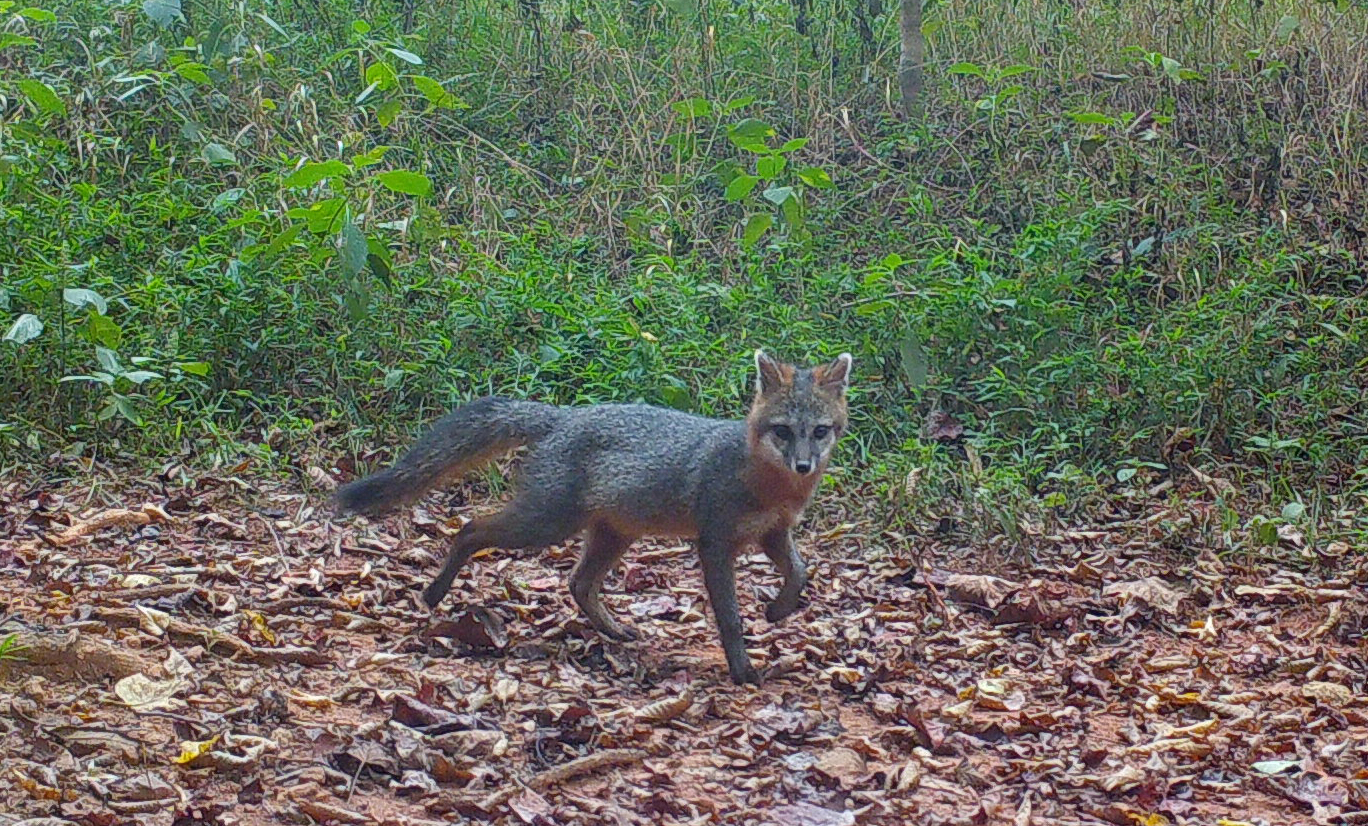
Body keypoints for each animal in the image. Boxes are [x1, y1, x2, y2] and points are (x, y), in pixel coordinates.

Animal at [334, 349, 853, 685]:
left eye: (819, 431)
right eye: (783, 431)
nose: (803, 465)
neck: (768, 484)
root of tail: (564, 416)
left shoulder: (773, 534)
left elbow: (801, 573)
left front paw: (779, 609)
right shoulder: (714, 543)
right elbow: (729, 617)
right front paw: (743, 670)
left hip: (611, 535)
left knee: (578, 583)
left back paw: (615, 630)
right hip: (544, 524)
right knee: (470, 529)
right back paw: (434, 593)